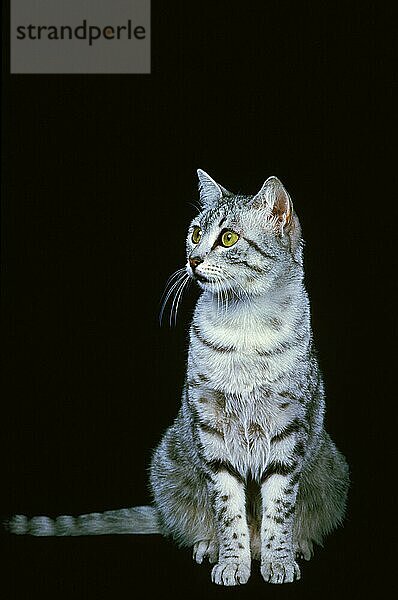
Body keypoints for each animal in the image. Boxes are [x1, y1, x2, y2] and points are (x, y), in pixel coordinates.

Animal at [6, 171, 348, 588]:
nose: (192, 258)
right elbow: (228, 509)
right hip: (168, 459)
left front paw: (278, 559)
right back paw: (210, 546)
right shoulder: (211, 431)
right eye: (196, 233)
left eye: (228, 237)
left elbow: (279, 510)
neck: (245, 327)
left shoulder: (289, 430)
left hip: (333, 469)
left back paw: (297, 545)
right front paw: (232, 561)